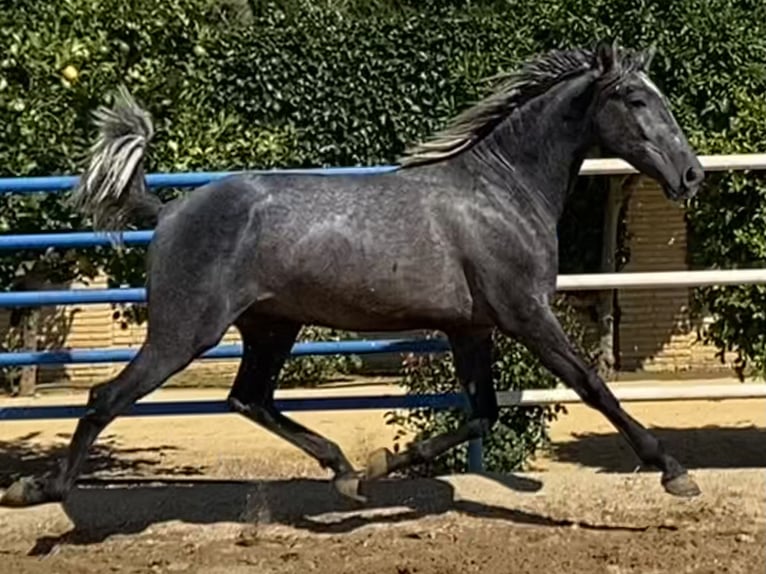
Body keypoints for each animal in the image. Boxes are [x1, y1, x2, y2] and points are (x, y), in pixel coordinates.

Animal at [1, 40, 708, 510]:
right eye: (636, 98)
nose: (691, 174)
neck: (502, 192)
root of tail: (170, 210)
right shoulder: (526, 314)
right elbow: (593, 386)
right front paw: (673, 470)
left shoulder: (472, 329)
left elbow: (481, 412)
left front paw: (386, 462)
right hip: (184, 332)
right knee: (107, 398)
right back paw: (39, 488)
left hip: (270, 327)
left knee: (249, 398)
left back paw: (343, 471)